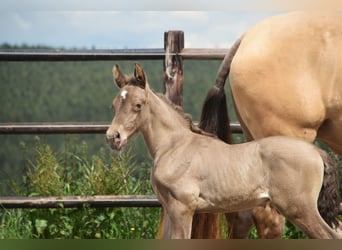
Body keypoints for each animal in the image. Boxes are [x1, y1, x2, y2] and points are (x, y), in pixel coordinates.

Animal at [105, 62, 340, 238]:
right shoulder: (169, 208)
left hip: (300, 209)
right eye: (114, 104)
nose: (113, 137)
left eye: (138, 105)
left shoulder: (182, 207)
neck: (175, 146)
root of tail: (316, 153)